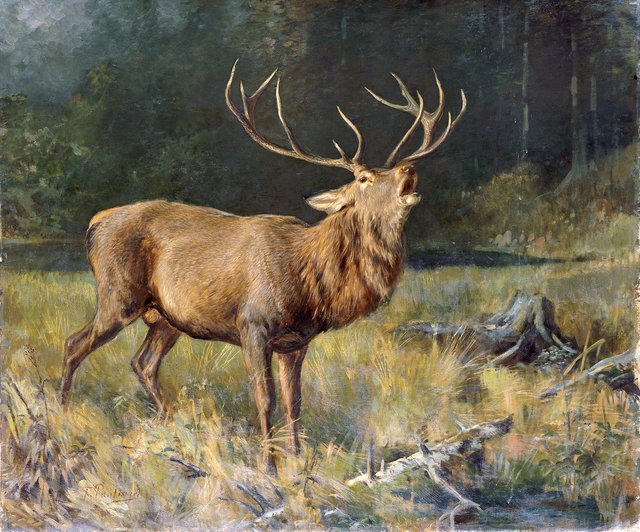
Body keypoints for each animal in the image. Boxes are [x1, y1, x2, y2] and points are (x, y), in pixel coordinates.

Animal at [60, 60, 466, 473]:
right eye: (365, 178)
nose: (408, 171)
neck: (311, 282)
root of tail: (95, 223)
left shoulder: (296, 341)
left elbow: (294, 401)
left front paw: (298, 461)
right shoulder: (252, 326)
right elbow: (264, 396)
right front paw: (268, 465)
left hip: (166, 318)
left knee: (142, 363)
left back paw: (167, 423)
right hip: (118, 295)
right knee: (75, 343)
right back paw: (61, 414)